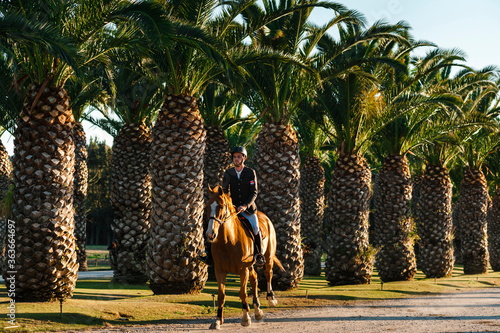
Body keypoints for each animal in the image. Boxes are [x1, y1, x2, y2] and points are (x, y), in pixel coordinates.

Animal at [205, 185, 284, 328]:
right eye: (207, 206)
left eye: (221, 206)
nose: (210, 234)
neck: (228, 241)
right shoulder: (220, 270)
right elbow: (221, 295)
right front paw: (218, 320)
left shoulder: (243, 270)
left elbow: (243, 293)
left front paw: (246, 318)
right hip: (250, 266)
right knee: (255, 279)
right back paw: (258, 311)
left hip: (268, 258)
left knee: (268, 273)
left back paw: (271, 298)